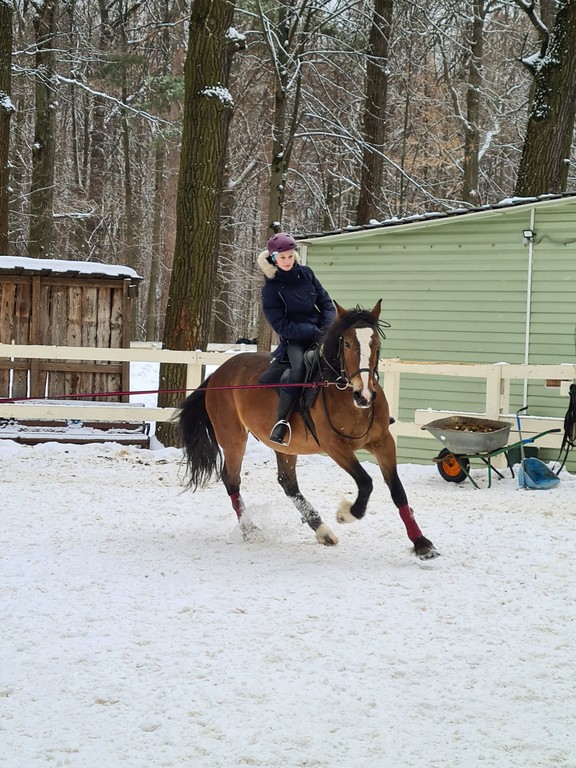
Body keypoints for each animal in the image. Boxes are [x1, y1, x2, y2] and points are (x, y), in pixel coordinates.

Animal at [178, 298, 438, 560]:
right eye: (347, 343)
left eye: (375, 343)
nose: (364, 395)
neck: (344, 394)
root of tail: (217, 375)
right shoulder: (335, 446)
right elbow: (366, 482)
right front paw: (346, 513)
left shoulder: (382, 441)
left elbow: (397, 490)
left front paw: (422, 543)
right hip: (233, 439)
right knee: (232, 480)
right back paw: (250, 529)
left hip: (284, 446)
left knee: (287, 483)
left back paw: (322, 531)